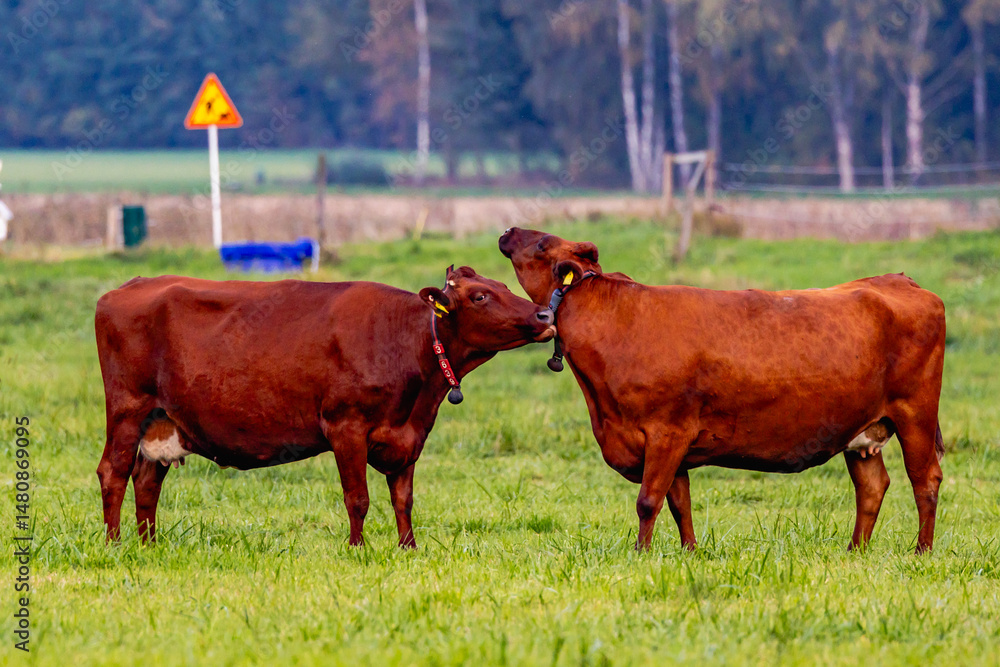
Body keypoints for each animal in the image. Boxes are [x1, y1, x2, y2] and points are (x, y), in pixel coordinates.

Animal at [95, 266, 555, 548]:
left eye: (506, 287)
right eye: (480, 296)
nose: (544, 314)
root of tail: (130, 285)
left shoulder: (409, 435)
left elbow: (403, 498)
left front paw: (409, 547)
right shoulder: (345, 426)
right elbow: (358, 497)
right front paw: (357, 547)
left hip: (162, 420)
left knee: (147, 480)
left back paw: (150, 544)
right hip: (127, 409)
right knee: (113, 472)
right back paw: (114, 544)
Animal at [499, 227, 946, 554]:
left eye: (542, 243)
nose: (508, 230)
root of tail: (898, 279)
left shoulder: (667, 431)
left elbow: (648, 500)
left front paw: (641, 553)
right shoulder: (670, 443)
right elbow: (678, 502)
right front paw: (690, 551)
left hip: (915, 414)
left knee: (925, 479)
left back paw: (922, 550)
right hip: (862, 429)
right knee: (872, 487)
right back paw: (855, 551)